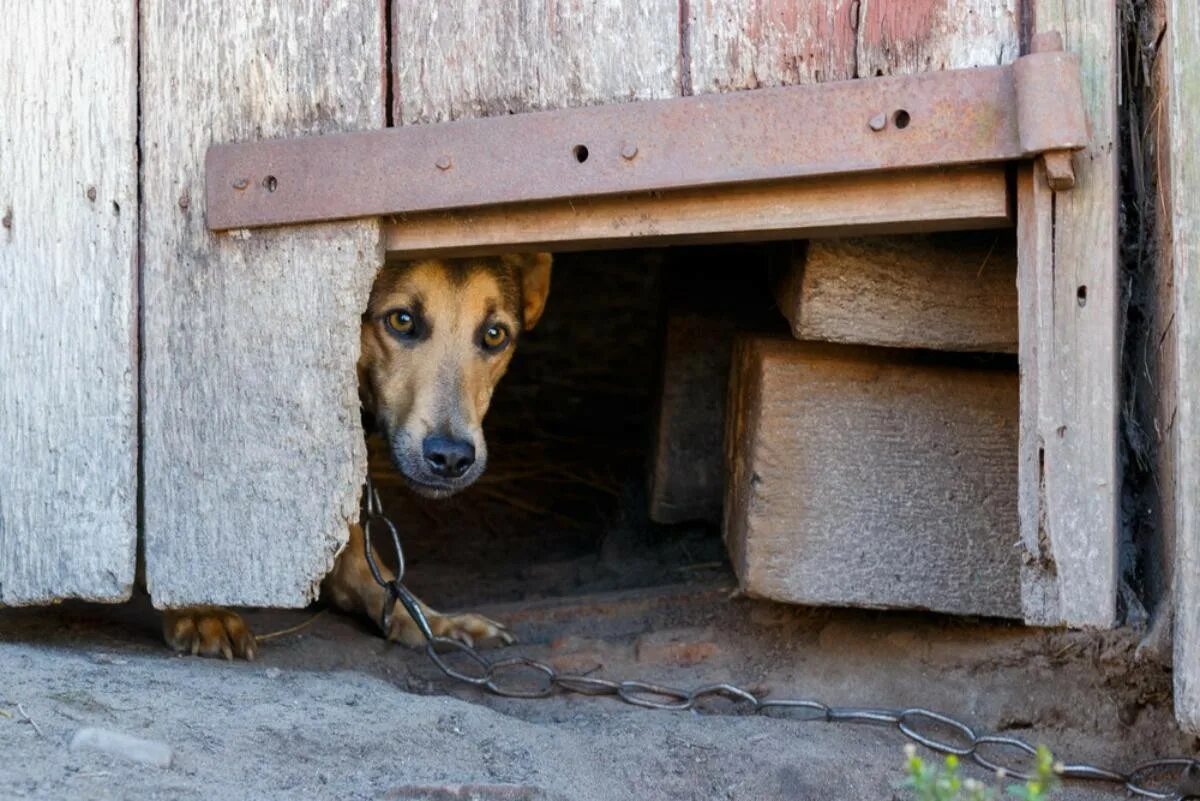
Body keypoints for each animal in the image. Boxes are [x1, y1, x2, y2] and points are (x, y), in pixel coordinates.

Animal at [159, 253, 552, 661]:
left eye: (494, 335)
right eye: (402, 320)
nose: (451, 457)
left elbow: (364, 562)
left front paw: (428, 621)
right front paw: (196, 608)